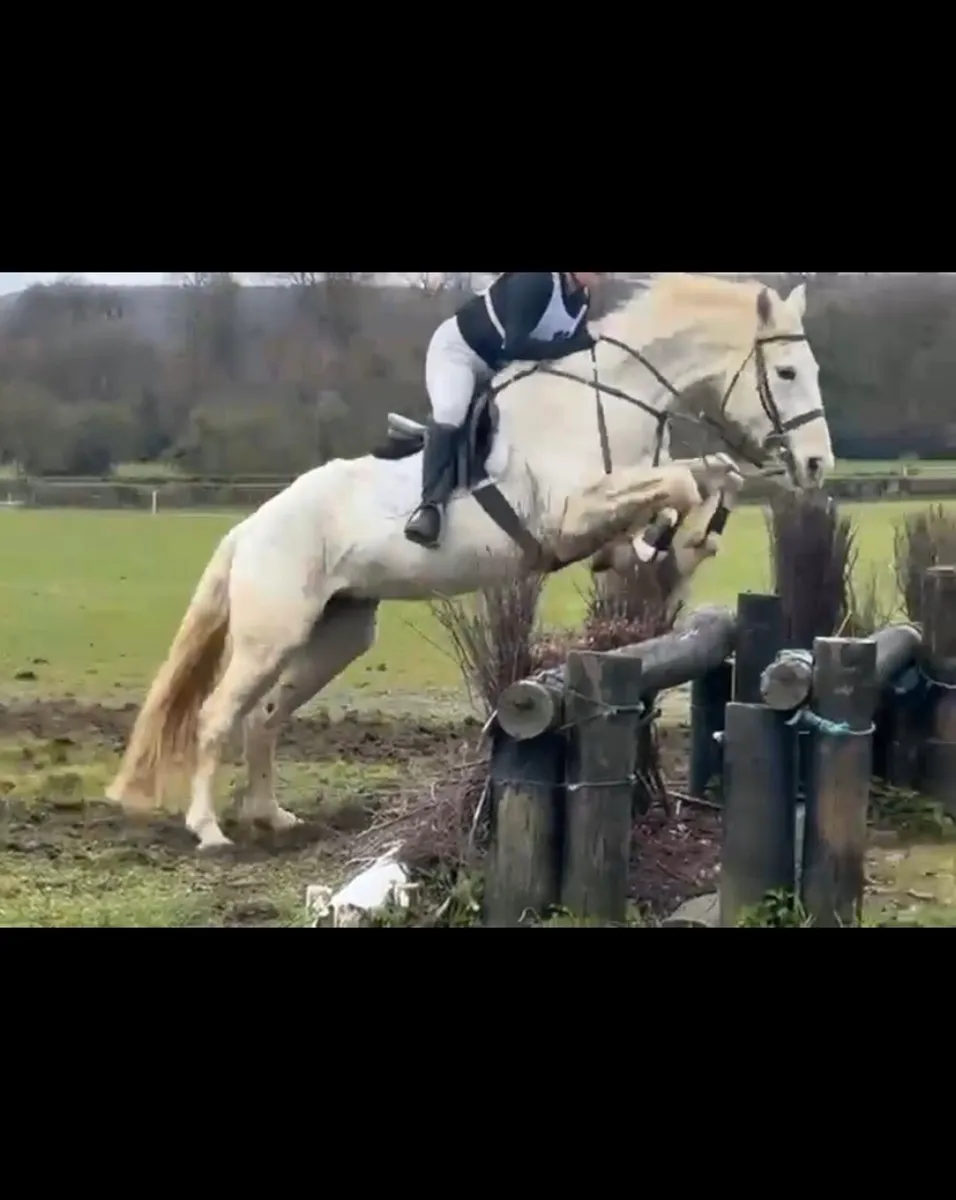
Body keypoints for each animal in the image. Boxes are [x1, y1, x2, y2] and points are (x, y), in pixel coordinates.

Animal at [106, 272, 835, 851]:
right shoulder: (570, 512)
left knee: (264, 717)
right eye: (788, 374)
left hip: (336, 634)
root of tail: (250, 527)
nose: (817, 464)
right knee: (217, 716)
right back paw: (209, 830)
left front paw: (678, 541)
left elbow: (711, 474)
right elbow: (683, 481)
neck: (610, 397)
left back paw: (272, 817)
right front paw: (662, 539)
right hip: (271, 634)